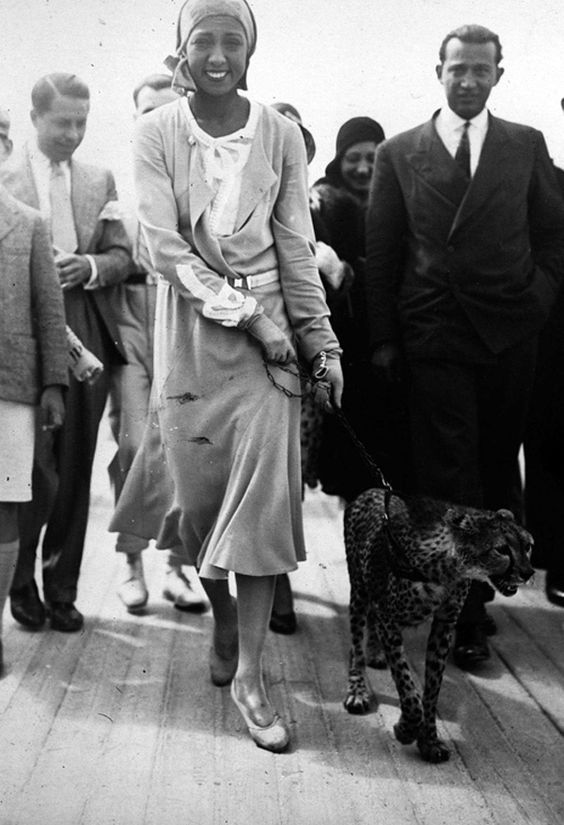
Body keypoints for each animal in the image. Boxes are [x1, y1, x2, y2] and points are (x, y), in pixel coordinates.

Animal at [344, 486, 532, 764]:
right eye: (502, 549)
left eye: (527, 546)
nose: (528, 572)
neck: (448, 567)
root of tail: (374, 489)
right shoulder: (390, 620)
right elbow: (407, 686)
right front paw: (405, 730)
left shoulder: (444, 624)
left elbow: (432, 689)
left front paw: (429, 741)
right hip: (358, 589)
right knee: (355, 644)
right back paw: (357, 690)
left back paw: (376, 653)